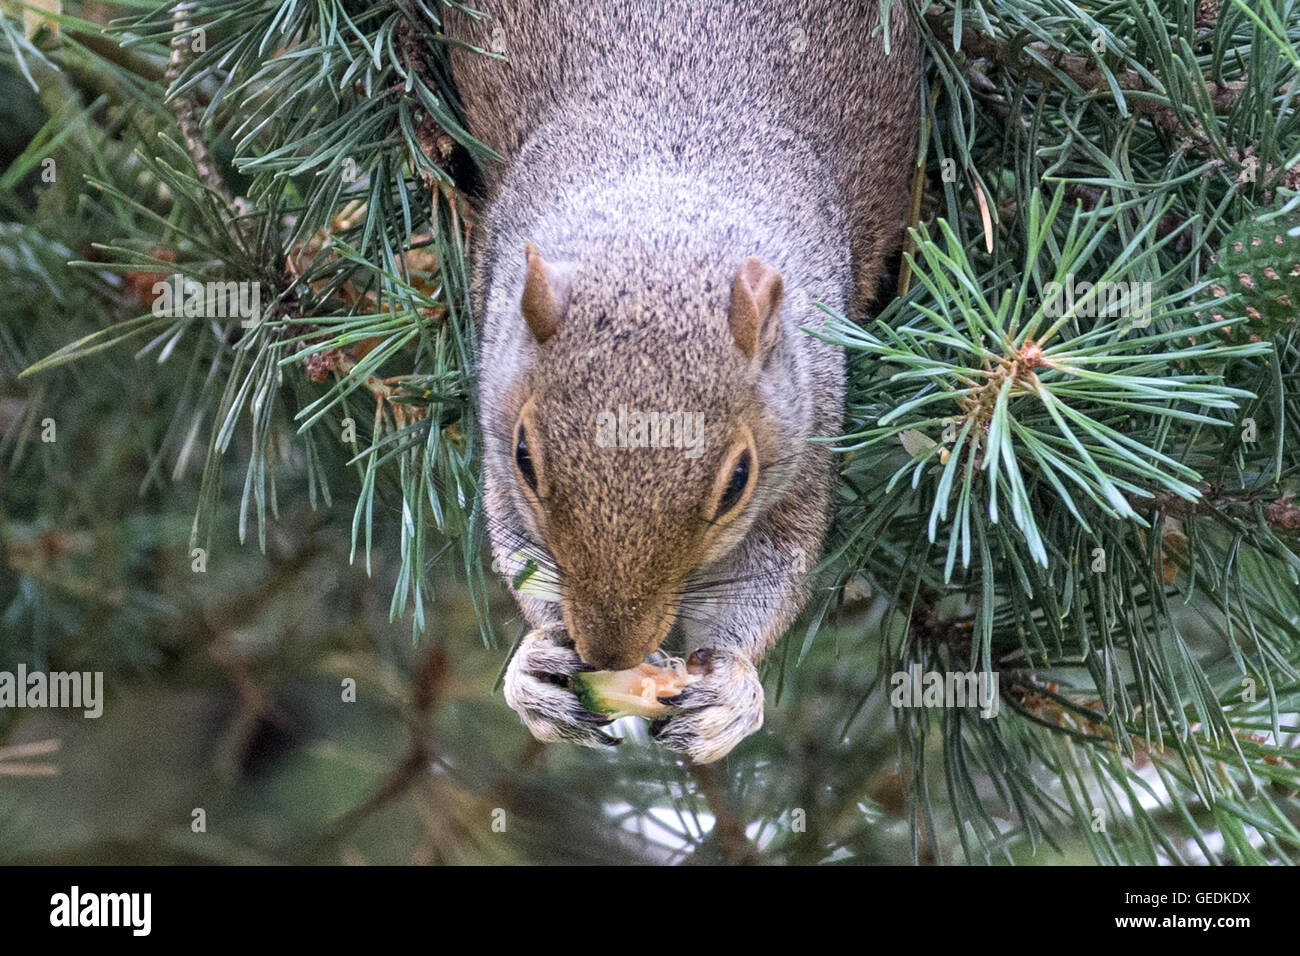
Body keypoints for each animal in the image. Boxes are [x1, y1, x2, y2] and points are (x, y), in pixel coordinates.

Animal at [452, 0, 920, 764]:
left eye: (737, 483)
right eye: (525, 458)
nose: (610, 654)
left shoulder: (811, 430)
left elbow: (775, 565)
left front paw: (732, 690)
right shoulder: (493, 401)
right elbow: (517, 542)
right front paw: (536, 670)